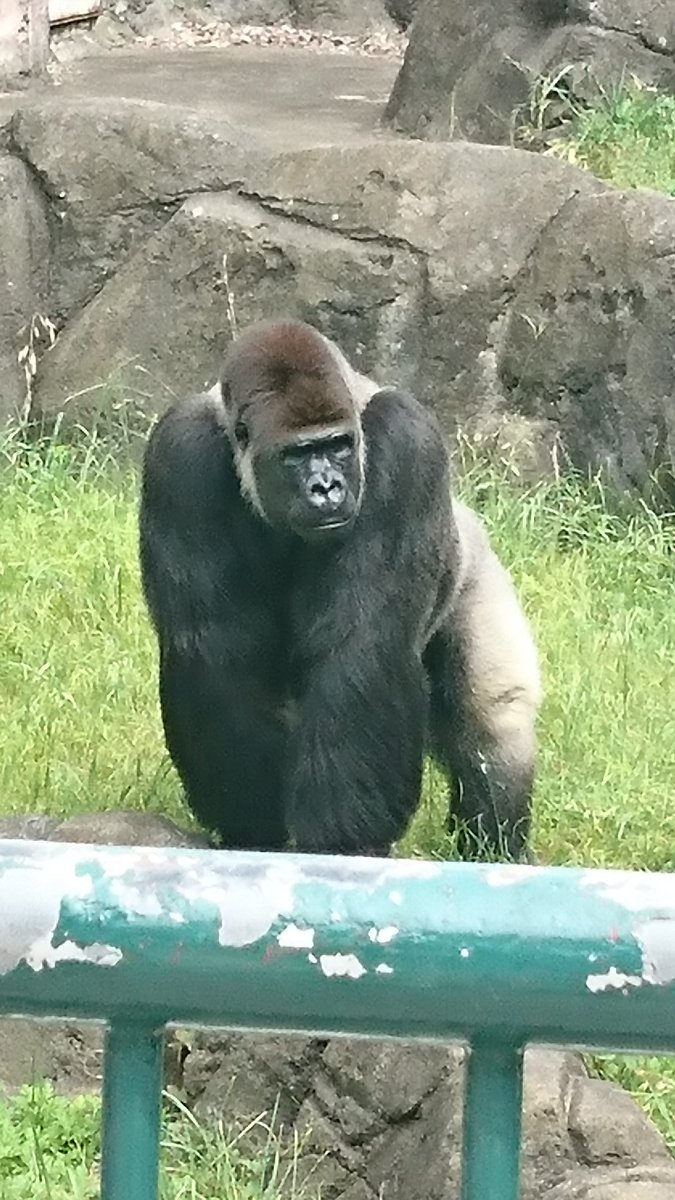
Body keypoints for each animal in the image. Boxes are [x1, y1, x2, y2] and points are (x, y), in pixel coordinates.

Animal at [138, 319, 540, 864]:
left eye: (338, 446)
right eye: (296, 454)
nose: (326, 487)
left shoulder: (406, 439)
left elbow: (364, 644)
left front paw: (345, 837)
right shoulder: (179, 452)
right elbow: (214, 645)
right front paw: (253, 824)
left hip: (477, 575)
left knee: (493, 725)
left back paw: (494, 850)